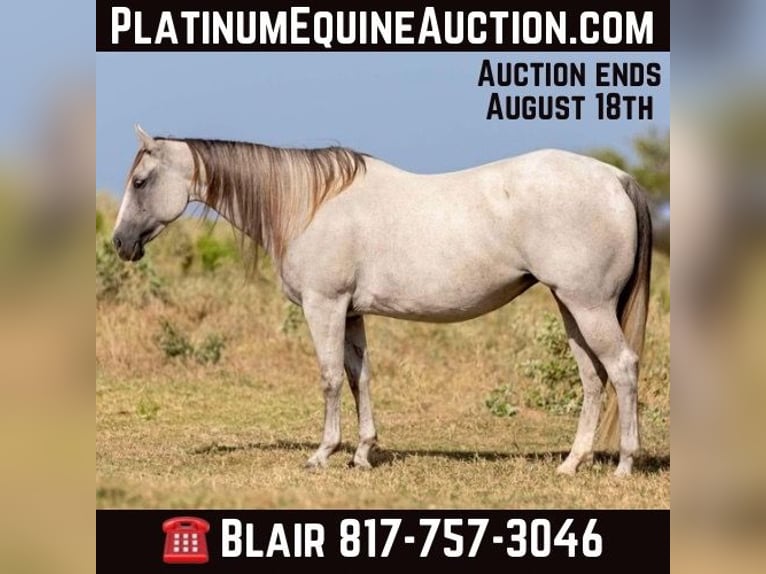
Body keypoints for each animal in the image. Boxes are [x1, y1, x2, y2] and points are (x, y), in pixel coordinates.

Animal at [112, 124, 652, 476]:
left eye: (140, 182)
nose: (120, 243)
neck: (309, 203)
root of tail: (616, 179)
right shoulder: (351, 313)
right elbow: (360, 378)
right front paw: (362, 453)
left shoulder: (325, 306)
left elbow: (330, 379)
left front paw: (323, 454)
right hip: (571, 306)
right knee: (593, 378)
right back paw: (572, 463)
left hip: (589, 306)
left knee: (622, 369)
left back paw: (624, 464)